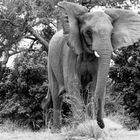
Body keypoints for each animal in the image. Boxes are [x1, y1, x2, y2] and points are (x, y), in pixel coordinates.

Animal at [41, 1, 140, 132]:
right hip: (50, 64)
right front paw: (79, 127)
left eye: (111, 33)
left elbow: (95, 84)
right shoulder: (70, 52)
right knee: (56, 96)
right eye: (88, 32)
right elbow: (73, 83)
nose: (102, 125)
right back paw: (56, 131)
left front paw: (91, 124)